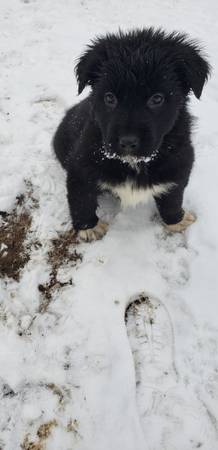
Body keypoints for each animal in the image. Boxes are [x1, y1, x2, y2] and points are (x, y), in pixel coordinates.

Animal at [52, 28, 209, 241]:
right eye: (109, 98)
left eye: (157, 99)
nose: (127, 142)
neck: (133, 163)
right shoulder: (80, 168)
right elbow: (81, 199)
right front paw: (89, 227)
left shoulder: (179, 166)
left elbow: (172, 199)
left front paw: (176, 220)